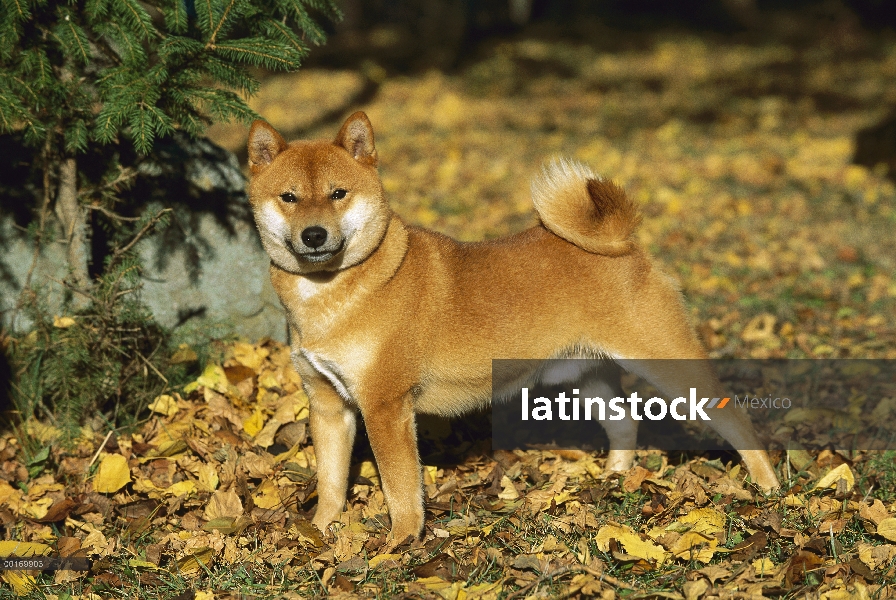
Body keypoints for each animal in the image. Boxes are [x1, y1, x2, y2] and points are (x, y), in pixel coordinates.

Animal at [245, 111, 776, 544]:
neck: (334, 292)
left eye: (338, 194)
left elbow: (400, 489)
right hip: (581, 376)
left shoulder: (385, 406)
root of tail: (621, 243)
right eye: (289, 197)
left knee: (735, 418)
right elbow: (332, 484)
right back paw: (611, 480)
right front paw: (318, 534)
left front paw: (398, 544)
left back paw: (769, 490)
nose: (314, 235)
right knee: (625, 422)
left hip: (666, 364)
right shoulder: (328, 405)